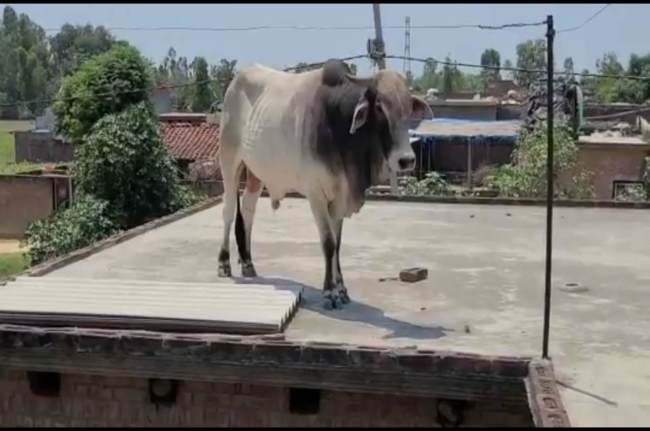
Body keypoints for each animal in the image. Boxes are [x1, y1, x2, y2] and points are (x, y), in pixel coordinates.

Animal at [217, 59, 433, 309]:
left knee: (248, 209)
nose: (406, 160)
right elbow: (328, 243)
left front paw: (341, 289)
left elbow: (337, 245)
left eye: (407, 107)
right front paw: (329, 292)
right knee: (229, 210)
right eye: (379, 106)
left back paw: (248, 263)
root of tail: (236, 80)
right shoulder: (316, 195)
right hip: (229, 161)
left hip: (256, 173)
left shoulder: (340, 196)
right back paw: (224, 263)